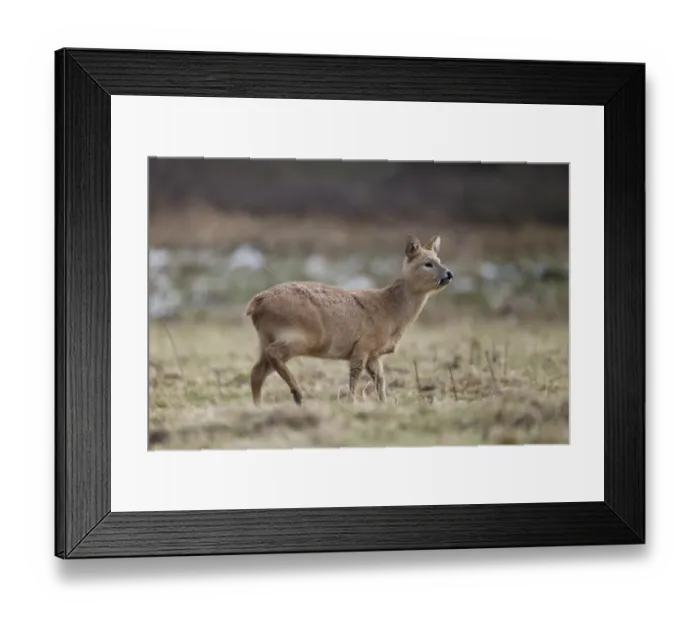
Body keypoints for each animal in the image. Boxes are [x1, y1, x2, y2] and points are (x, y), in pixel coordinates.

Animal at [245, 234, 453, 406]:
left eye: (439, 260)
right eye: (427, 263)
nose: (449, 274)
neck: (390, 311)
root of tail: (256, 303)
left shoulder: (374, 353)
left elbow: (380, 379)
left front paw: (384, 402)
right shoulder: (363, 345)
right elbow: (356, 374)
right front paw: (352, 401)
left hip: (266, 337)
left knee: (257, 371)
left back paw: (259, 406)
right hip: (299, 335)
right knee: (272, 355)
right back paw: (297, 393)